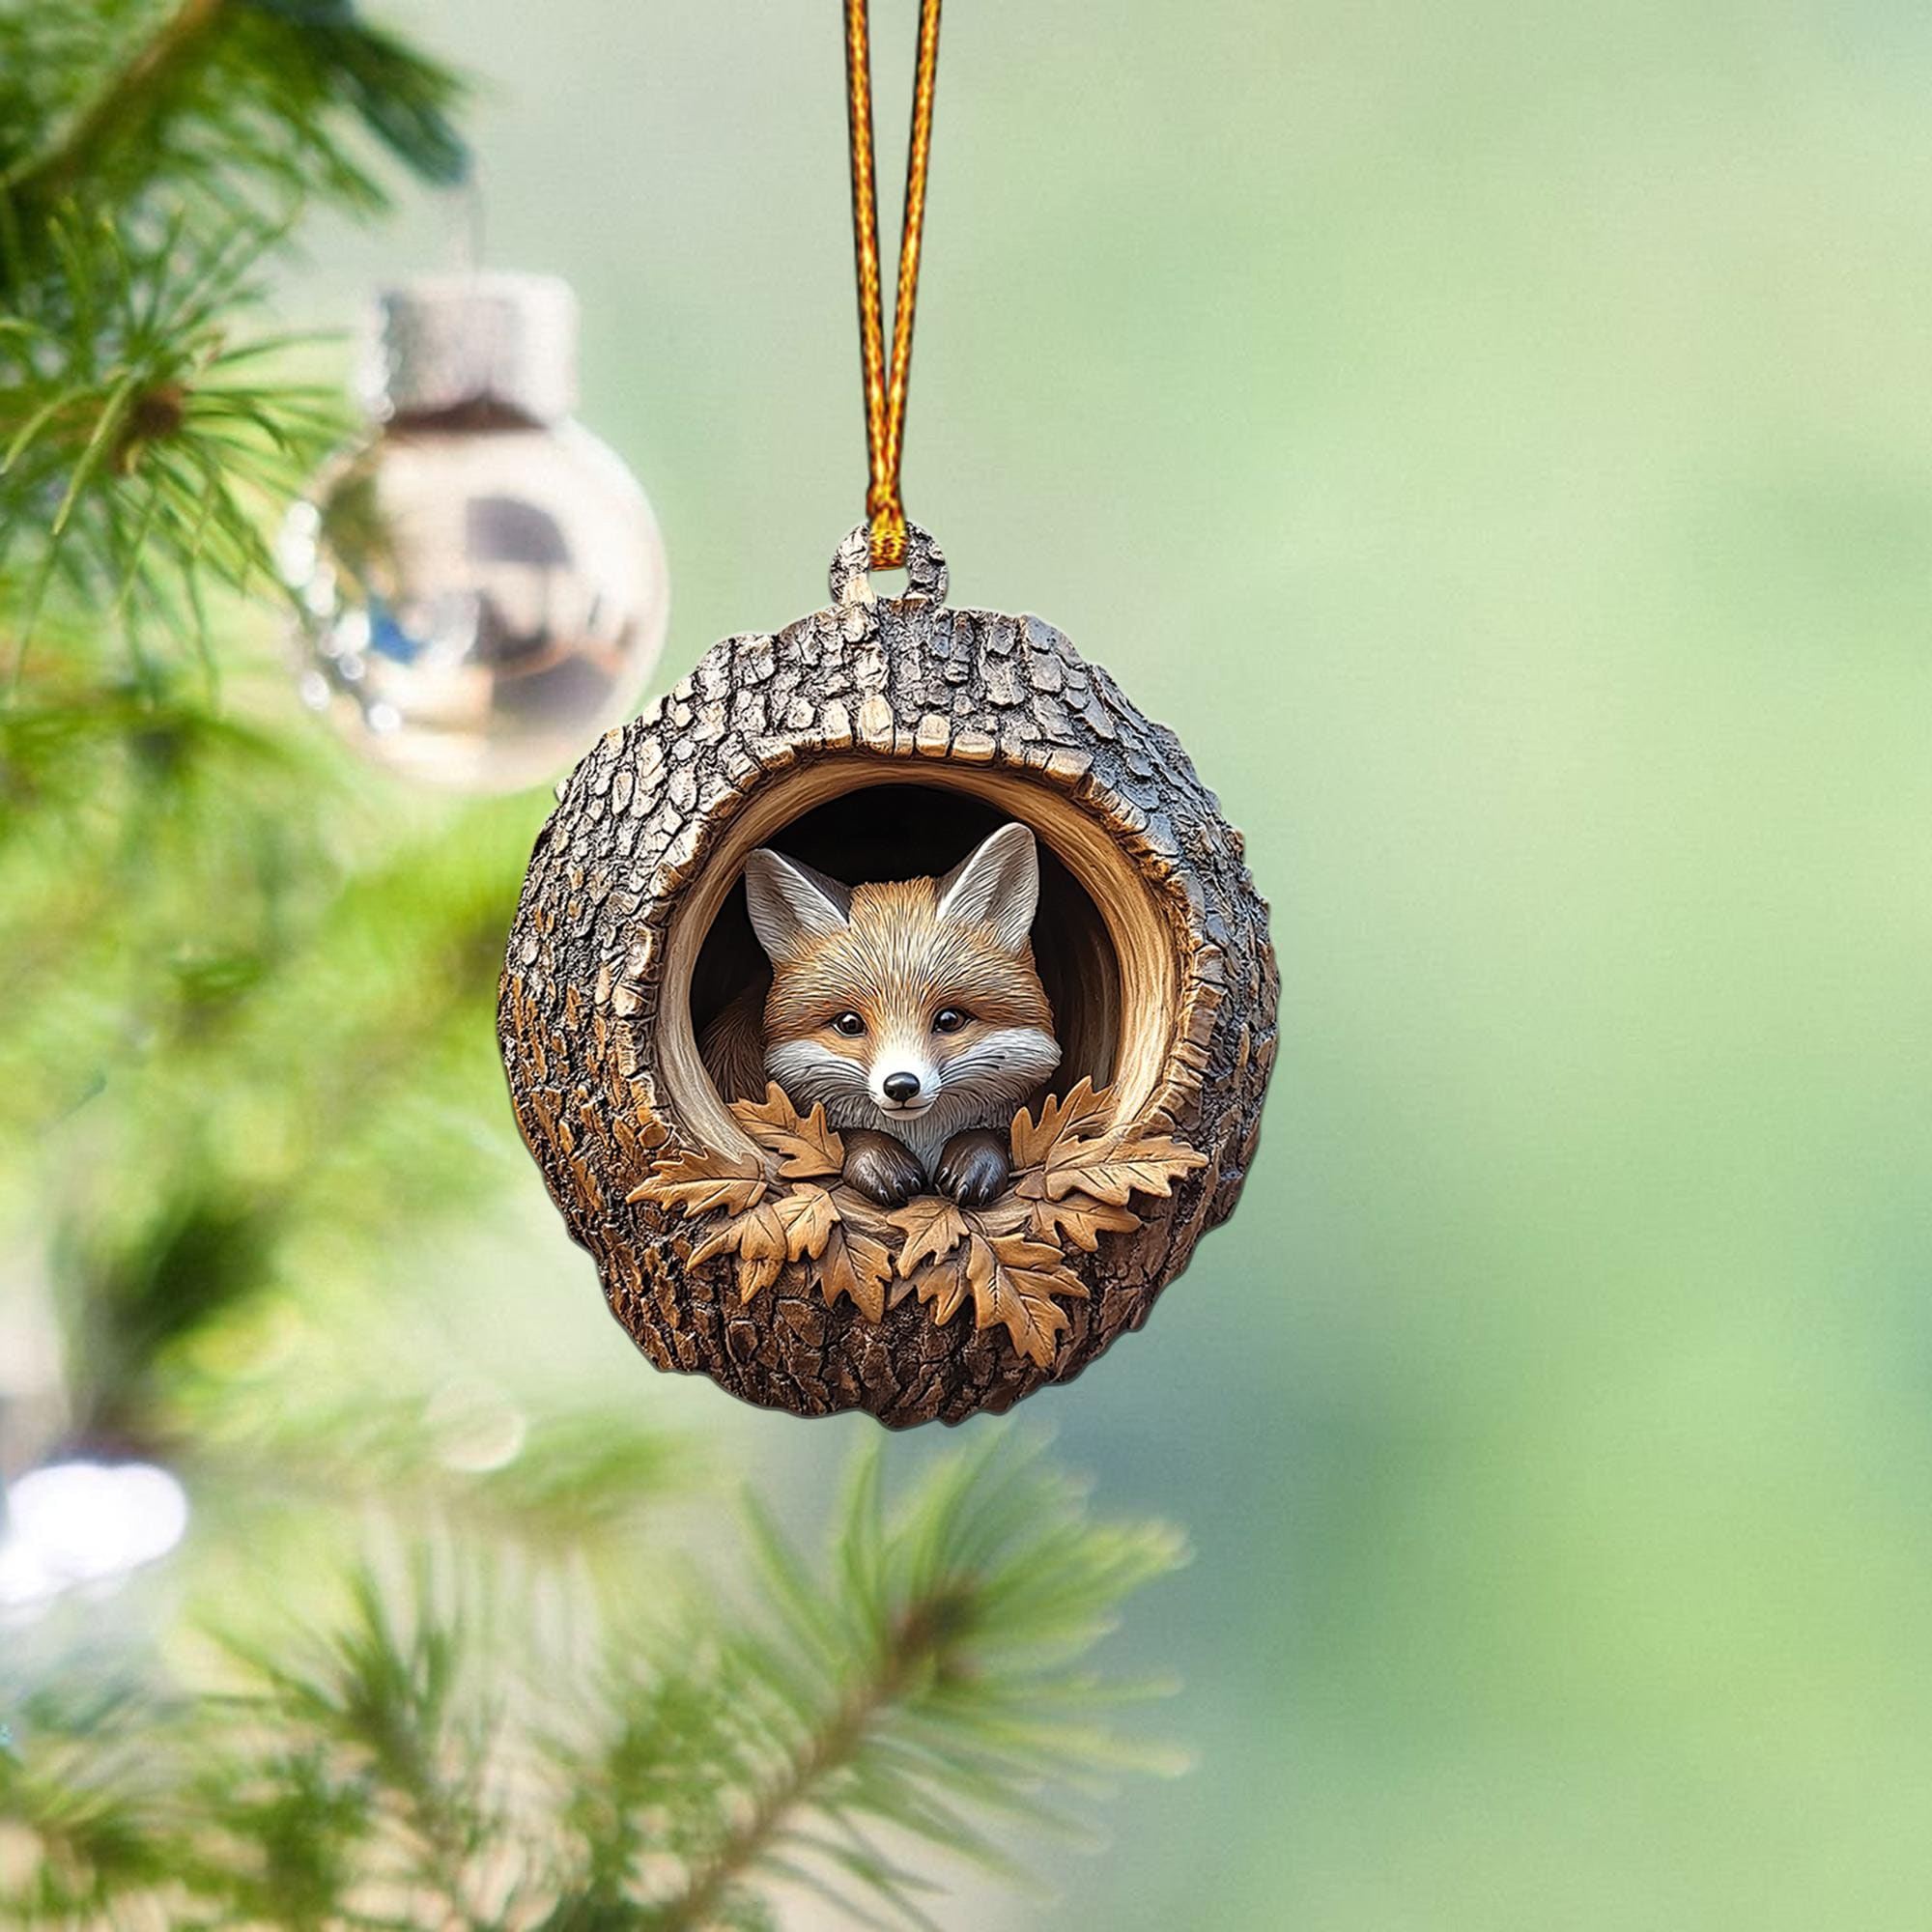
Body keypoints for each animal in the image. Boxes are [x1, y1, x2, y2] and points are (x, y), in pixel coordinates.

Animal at [700, 821, 1062, 1207]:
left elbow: (993, 1135)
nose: (901, 1085)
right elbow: (848, 1135)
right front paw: (880, 1162)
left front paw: (974, 1161)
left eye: (949, 1020)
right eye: (849, 1024)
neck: (920, 1139)